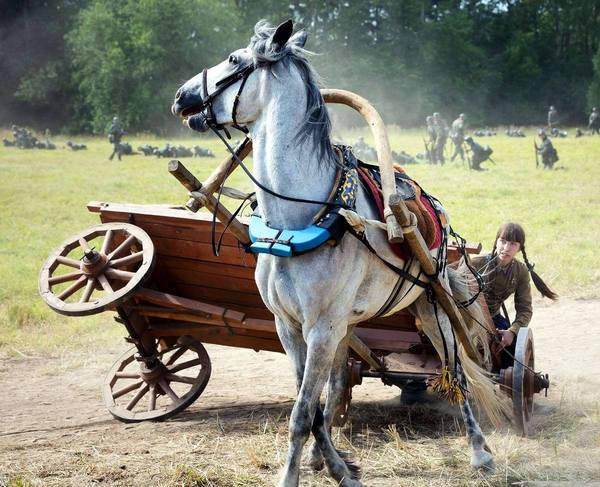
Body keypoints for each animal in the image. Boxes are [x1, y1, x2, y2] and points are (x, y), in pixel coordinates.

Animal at [171, 19, 504, 487]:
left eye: (235, 59)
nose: (181, 96)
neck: (295, 219)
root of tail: (430, 204)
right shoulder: (291, 327)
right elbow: (309, 405)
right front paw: (337, 467)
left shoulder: (321, 328)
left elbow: (300, 412)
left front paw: (292, 476)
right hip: (350, 325)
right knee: (336, 384)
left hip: (432, 306)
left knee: (456, 372)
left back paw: (479, 450)